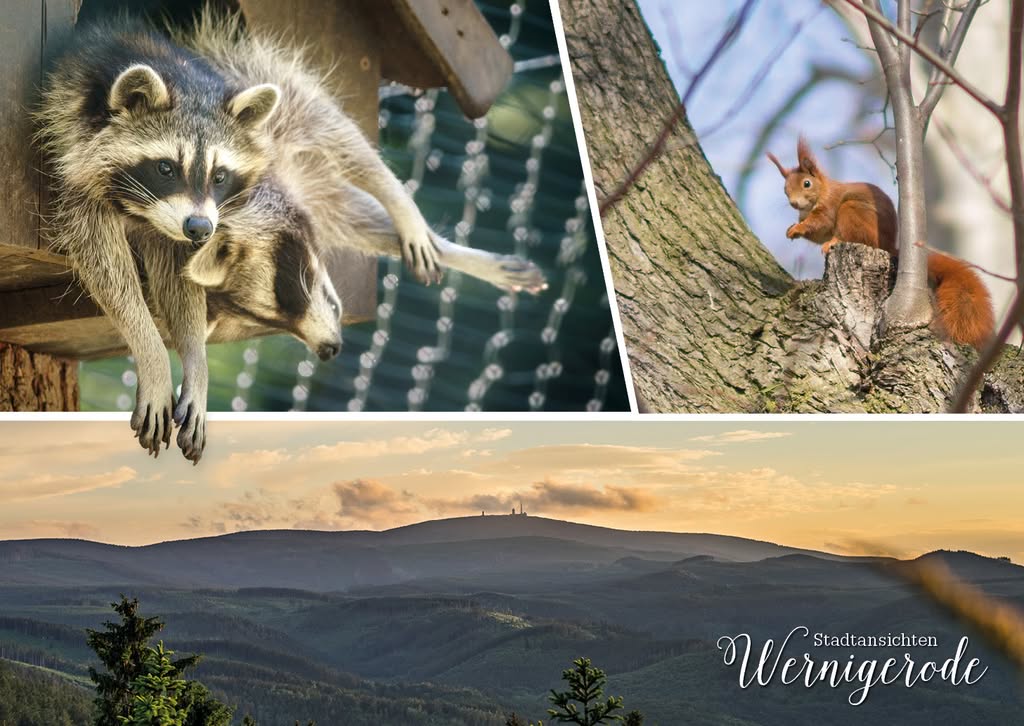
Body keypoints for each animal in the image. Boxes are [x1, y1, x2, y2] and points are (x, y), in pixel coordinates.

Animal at [767, 138, 995, 350]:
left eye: (807, 183)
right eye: (785, 188)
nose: (793, 203)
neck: (821, 194)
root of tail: (888, 246)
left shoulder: (829, 207)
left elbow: (819, 223)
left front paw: (798, 228)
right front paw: (792, 228)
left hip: (852, 211)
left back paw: (833, 242)